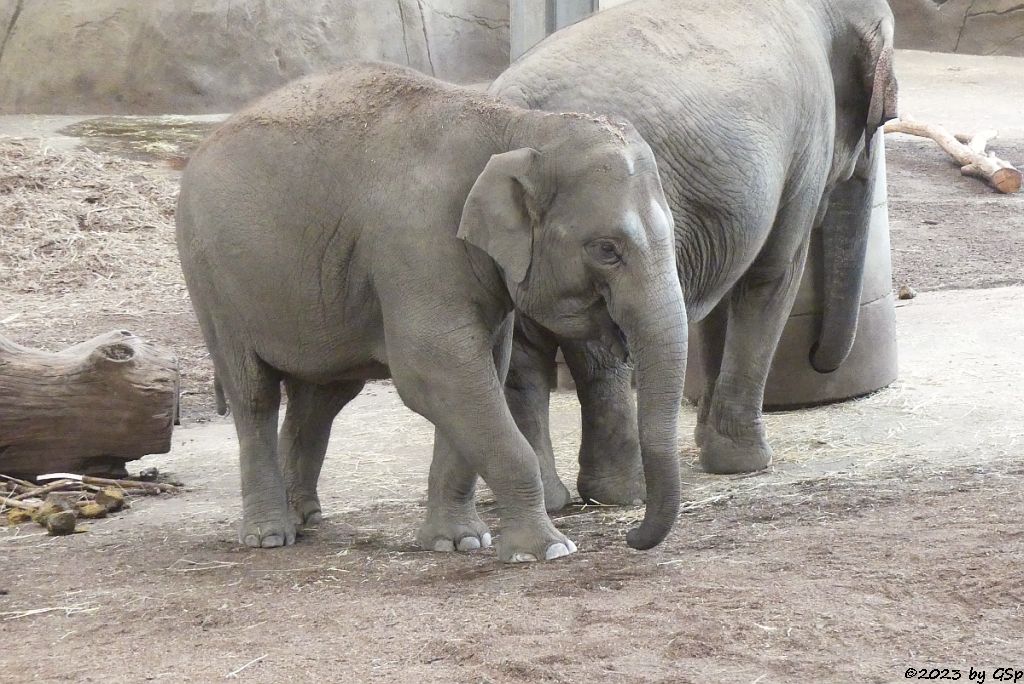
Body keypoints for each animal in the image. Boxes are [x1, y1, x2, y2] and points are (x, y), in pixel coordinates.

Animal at [176, 62, 688, 561]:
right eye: (606, 249)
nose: (631, 537)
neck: (519, 128)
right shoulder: (417, 243)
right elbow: (438, 370)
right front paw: (548, 550)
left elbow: (479, 372)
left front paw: (459, 542)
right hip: (211, 280)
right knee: (254, 394)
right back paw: (268, 536)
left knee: (320, 397)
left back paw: (303, 519)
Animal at [483, 0, 892, 507]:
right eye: (881, 118)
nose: (817, 357)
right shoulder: (808, 137)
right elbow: (772, 273)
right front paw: (747, 463)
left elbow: (726, 291)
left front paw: (707, 441)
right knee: (600, 344)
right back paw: (624, 492)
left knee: (523, 354)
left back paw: (554, 498)